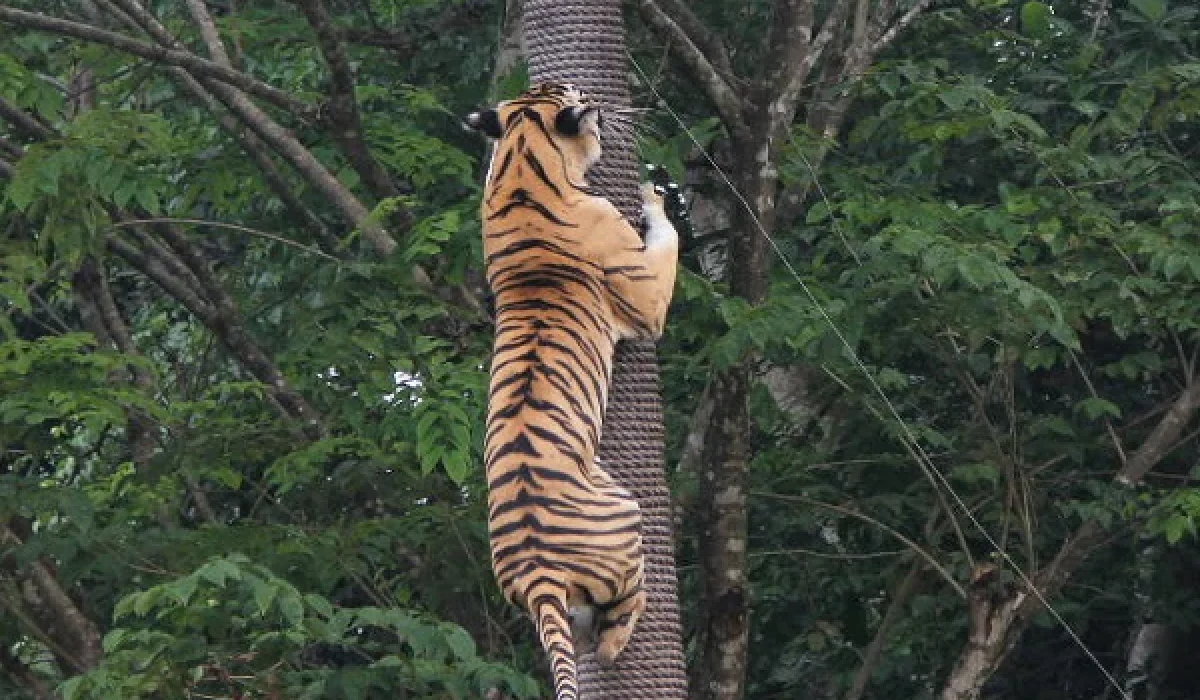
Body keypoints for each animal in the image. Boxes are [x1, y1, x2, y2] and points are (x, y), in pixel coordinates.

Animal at [464, 83, 678, 700]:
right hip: (626, 515)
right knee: (617, 620)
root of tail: (538, 573)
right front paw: (654, 195)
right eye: (582, 97)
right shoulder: (646, 298)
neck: (521, 166)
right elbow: (667, 244)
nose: (602, 109)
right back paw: (623, 634)